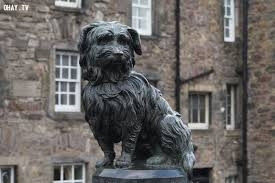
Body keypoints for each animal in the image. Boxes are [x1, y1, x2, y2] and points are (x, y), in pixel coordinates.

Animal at [77, 21, 195, 174]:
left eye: (123, 40)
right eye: (103, 39)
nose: (118, 53)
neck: (111, 81)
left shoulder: (131, 119)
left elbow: (128, 142)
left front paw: (123, 161)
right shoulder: (97, 122)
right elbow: (105, 145)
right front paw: (106, 161)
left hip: (168, 122)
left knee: (174, 153)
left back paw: (161, 161)